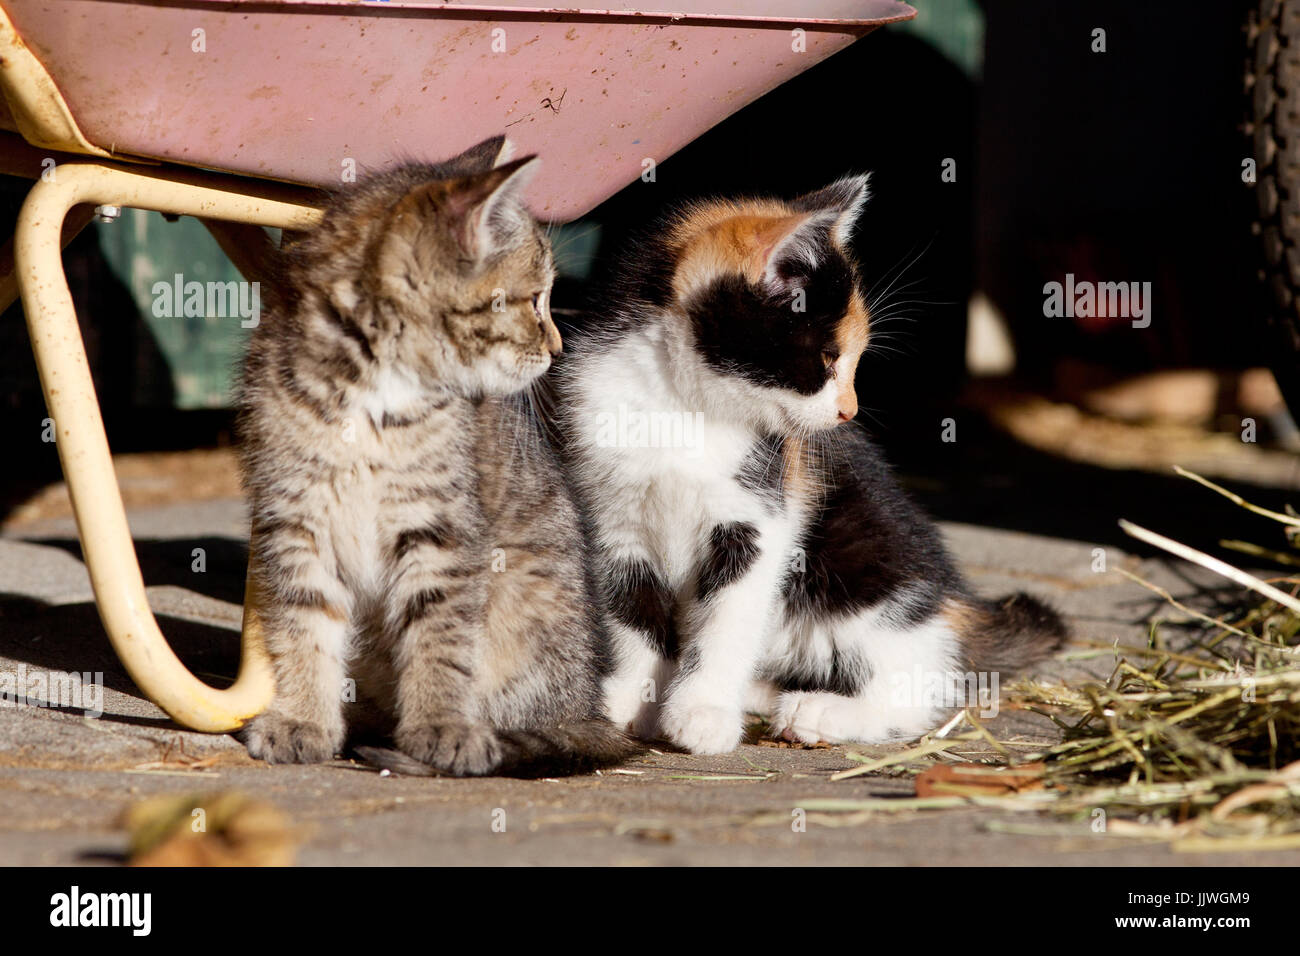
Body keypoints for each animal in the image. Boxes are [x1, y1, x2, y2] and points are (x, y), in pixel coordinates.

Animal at [240, 136, 634, 780]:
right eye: (534, 300)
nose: (557, 347)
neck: (375, 391)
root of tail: (586, 706)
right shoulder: (296, 518)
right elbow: (303, 623)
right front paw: (303, 718)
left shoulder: (441, 529)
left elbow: (440, 636)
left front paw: (441, 726)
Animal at [556, 174, 1066, 754]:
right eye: (826, 359)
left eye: (852, 360)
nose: (850, 412)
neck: (685, 408)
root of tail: (957, 605)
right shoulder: (612, 519)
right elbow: (632, 616)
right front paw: (632, 702)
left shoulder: (761, 519)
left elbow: (728, 620)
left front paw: (702, 711)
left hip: (869, 568)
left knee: (921, 684)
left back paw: (823, 712)